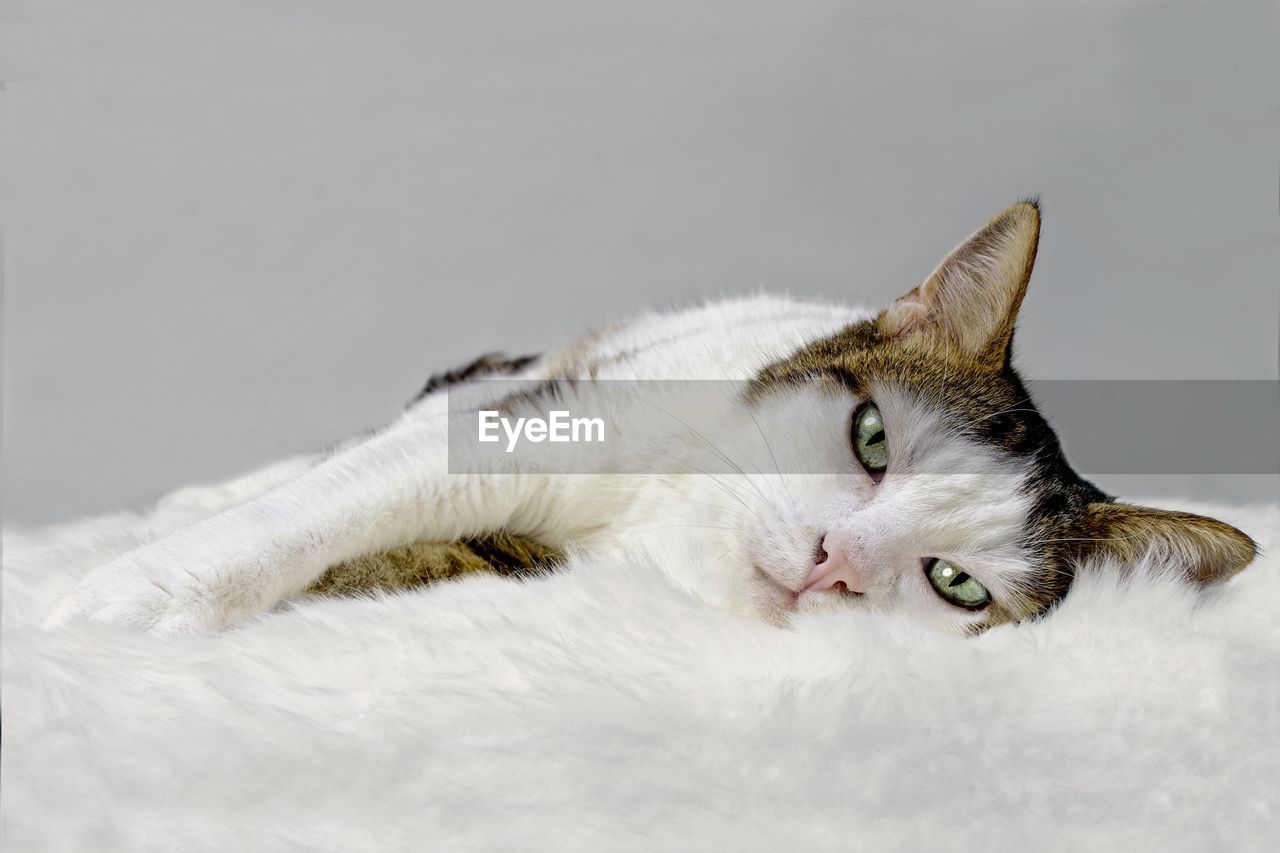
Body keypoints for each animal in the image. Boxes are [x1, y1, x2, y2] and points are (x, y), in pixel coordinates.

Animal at [47, 201, 1249, 637]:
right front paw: (134, 593)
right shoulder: (525, 425)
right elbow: (317, 509)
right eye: (870, 437)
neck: (670, 518)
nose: (832, 563)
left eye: (956, 583)